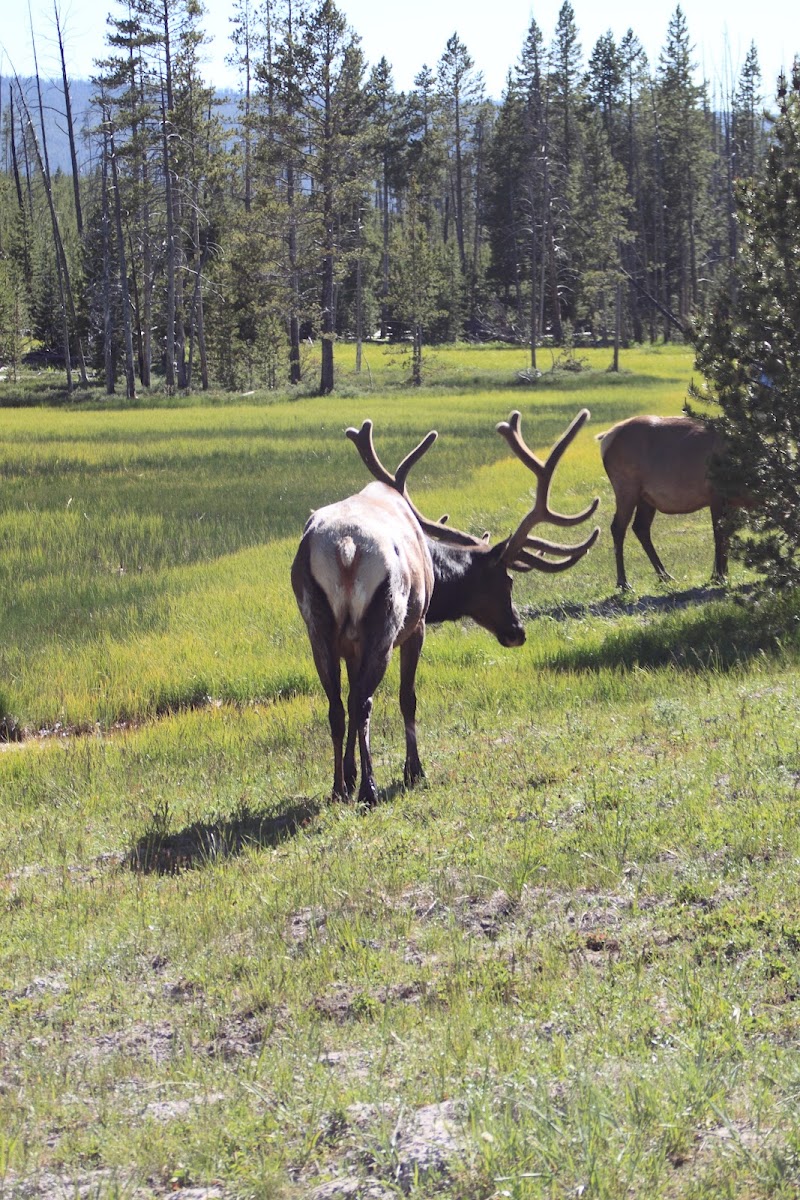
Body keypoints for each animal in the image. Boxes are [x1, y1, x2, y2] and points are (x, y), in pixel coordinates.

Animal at [291, 409, 600, 806]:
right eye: (507, 581)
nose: (517, 632)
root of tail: (346, 547)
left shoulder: (350, 645)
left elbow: (348, 696)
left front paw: (351, 771)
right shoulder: (418, 625)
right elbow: (407, 697)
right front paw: (413, 770)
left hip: (318, 625)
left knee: (337, 705)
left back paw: (338, 788)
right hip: (386, 618)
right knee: (364, 701)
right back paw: (369, 789)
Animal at [596, 414, 741, 591]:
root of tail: (605, 438)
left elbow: (726, 535)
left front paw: (722, 573)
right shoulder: (716, 495)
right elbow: (719, 535)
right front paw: (718, 576)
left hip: (645, 498)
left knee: (640, 527)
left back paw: (665, 575)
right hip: (626, 488)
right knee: (618, 527)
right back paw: (624, 582)